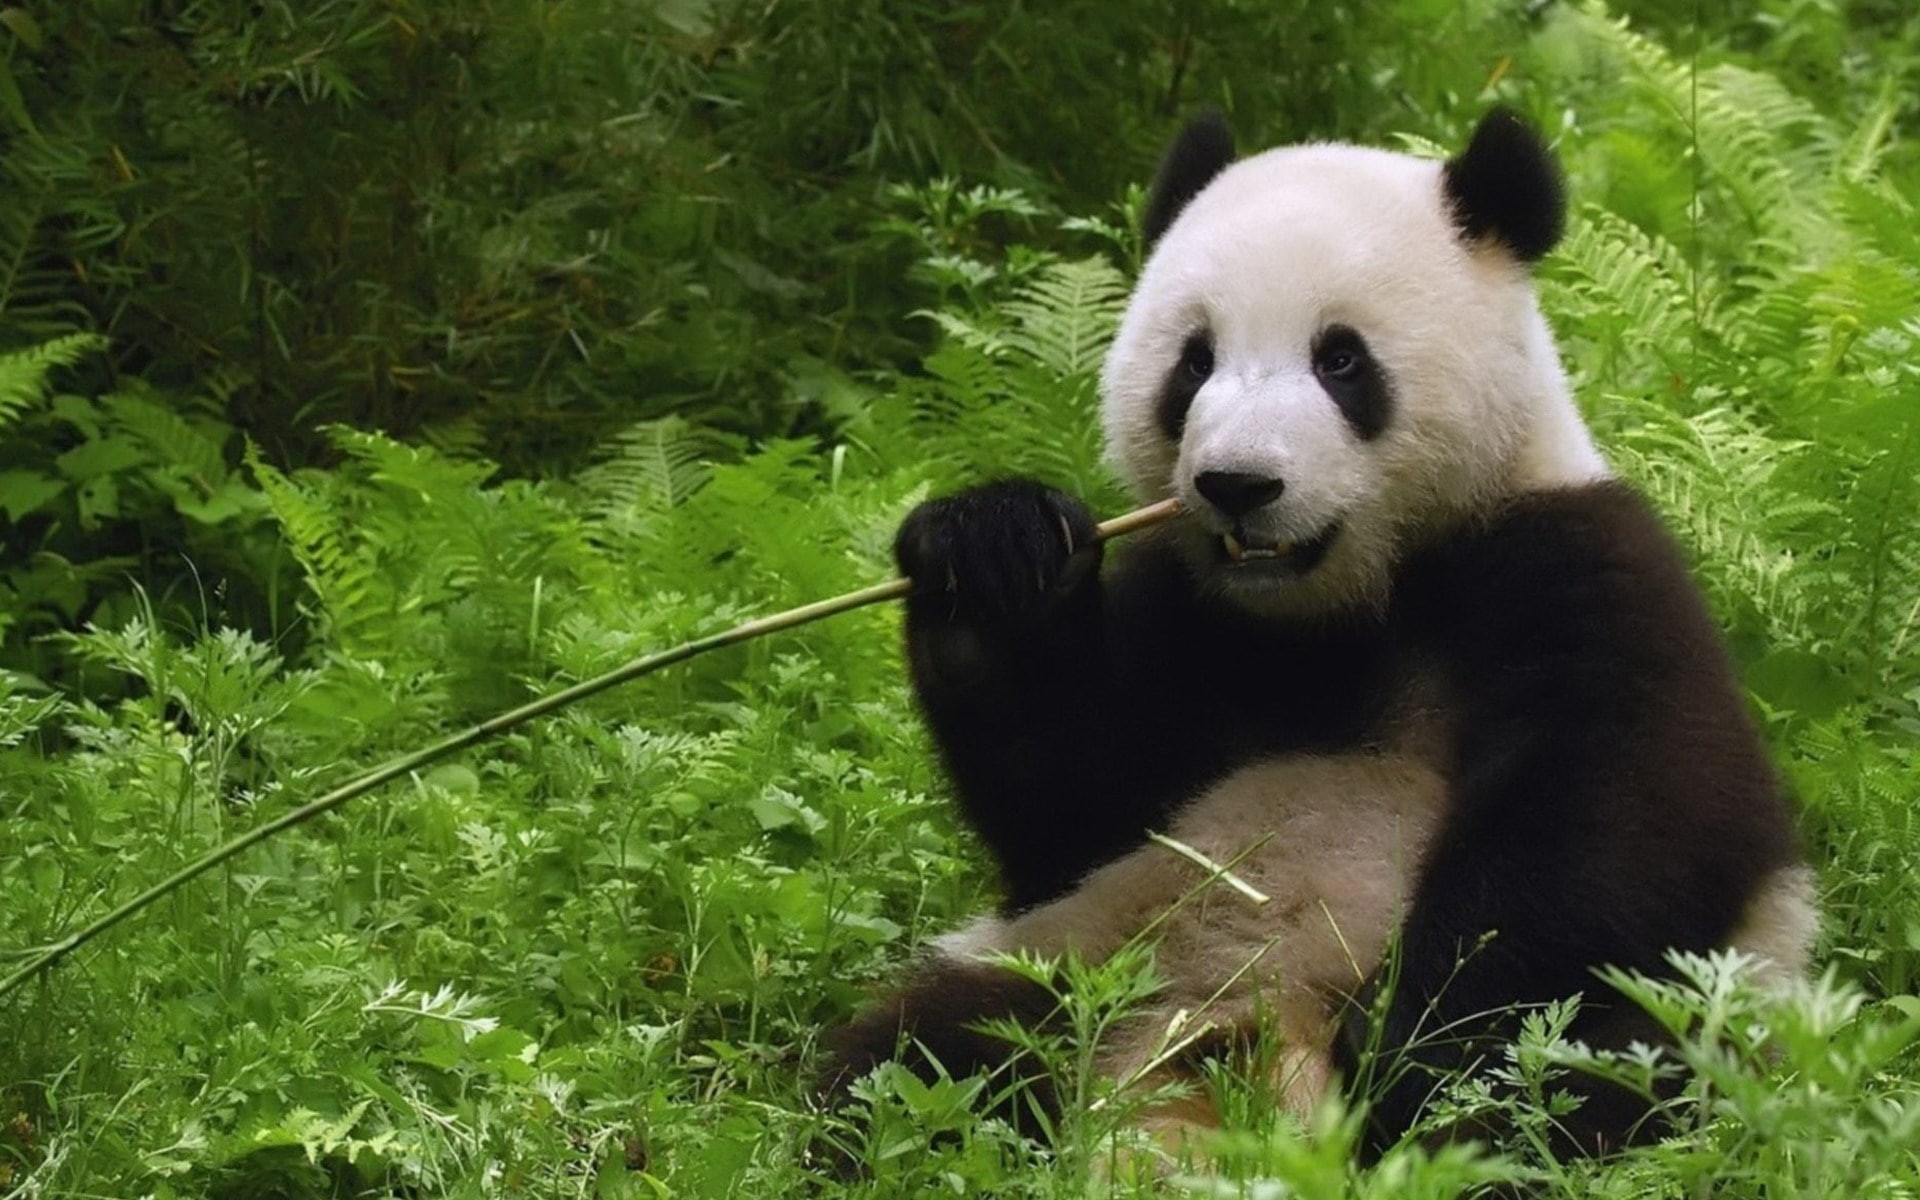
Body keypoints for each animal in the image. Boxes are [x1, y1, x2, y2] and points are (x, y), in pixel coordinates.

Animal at [817, 108, 1817, 1162]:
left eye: (1341, 361)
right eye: (1194, 362)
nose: (1238, 484)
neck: (1338, 606)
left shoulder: (1576, 566)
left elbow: (1624, 821)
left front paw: (1406, 1045)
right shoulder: (1188, 616)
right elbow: (1074, 805)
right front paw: (993, 557)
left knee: (1586, 1074)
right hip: (1089, 956)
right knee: (921, 1058)